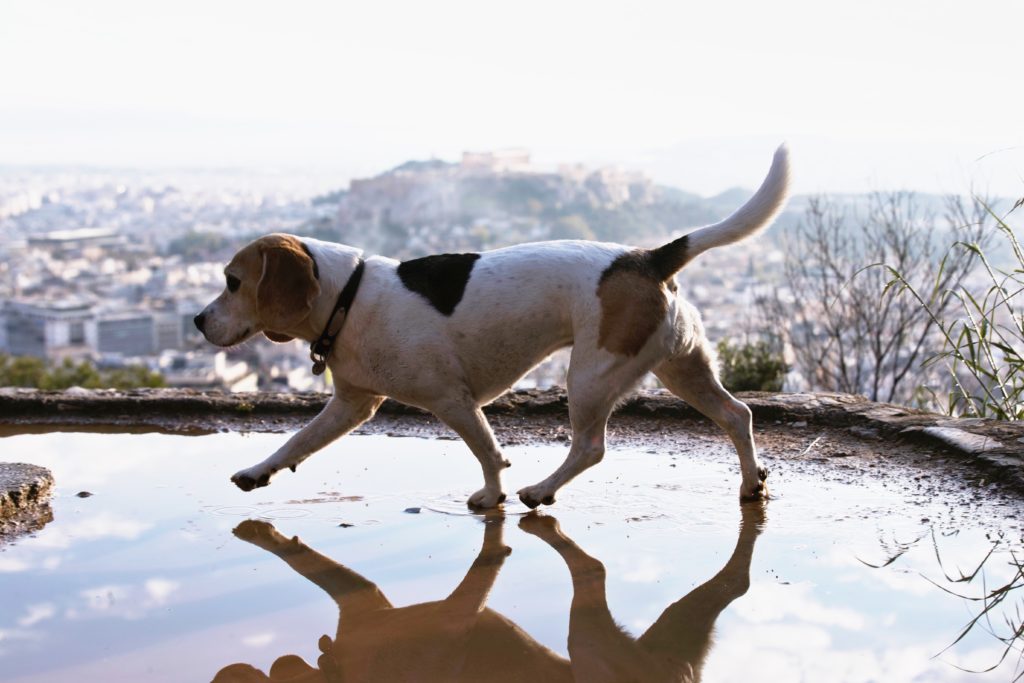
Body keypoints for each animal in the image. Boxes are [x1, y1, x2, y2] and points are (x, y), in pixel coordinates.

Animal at [197, 145, 790, 507]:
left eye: (231, 281)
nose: (198, 320)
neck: (350, 294)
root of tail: (646, 257)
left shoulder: (452, 400)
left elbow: (487, 452)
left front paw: (492, 495)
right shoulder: (351, 405)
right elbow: (297, 441)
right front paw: (258, 471)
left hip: (592, 376)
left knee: (590, 447)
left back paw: (541, 490)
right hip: (680, 367)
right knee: (737, 415)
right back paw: (750, 483)